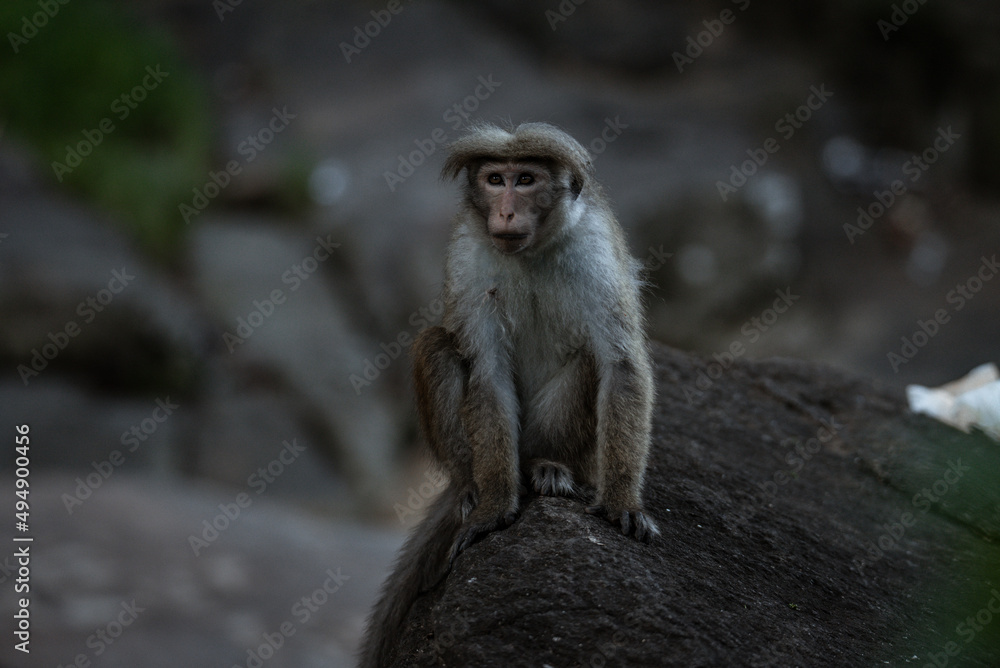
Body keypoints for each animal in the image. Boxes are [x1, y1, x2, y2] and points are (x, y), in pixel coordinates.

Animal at [360, 121, 656, 668]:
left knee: (588, 361)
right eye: (495, 180)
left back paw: (549, 465)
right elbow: (487, 372)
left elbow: (620, 364)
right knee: (437, 345)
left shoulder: (596, 248)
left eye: (526, 179)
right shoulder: (468, 253)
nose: (506, 211)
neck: (533, 251)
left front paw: (622, 498)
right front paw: (495, 504)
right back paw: (470, 485)